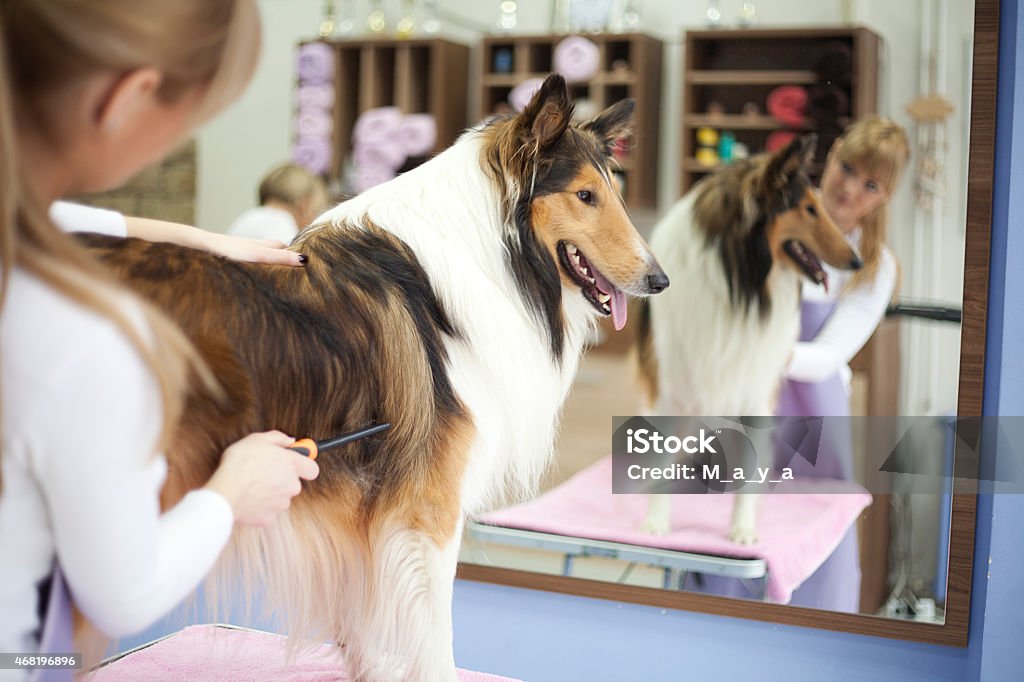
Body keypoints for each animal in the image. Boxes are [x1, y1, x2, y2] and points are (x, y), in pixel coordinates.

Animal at [83, 75, 667, 679]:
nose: (660, 280)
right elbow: (434, 645)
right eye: (585, 196)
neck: (492, 256)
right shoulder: (427, 512)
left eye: (615, 192)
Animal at [634, 135, 860, 544]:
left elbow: (749, 458)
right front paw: (656, 523)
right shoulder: (672, 382)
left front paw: (742, 528)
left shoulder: (753, 381)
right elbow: (662, 455)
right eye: (808, 208)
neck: (737, 279)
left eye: (820, 206)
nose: (857, 261)